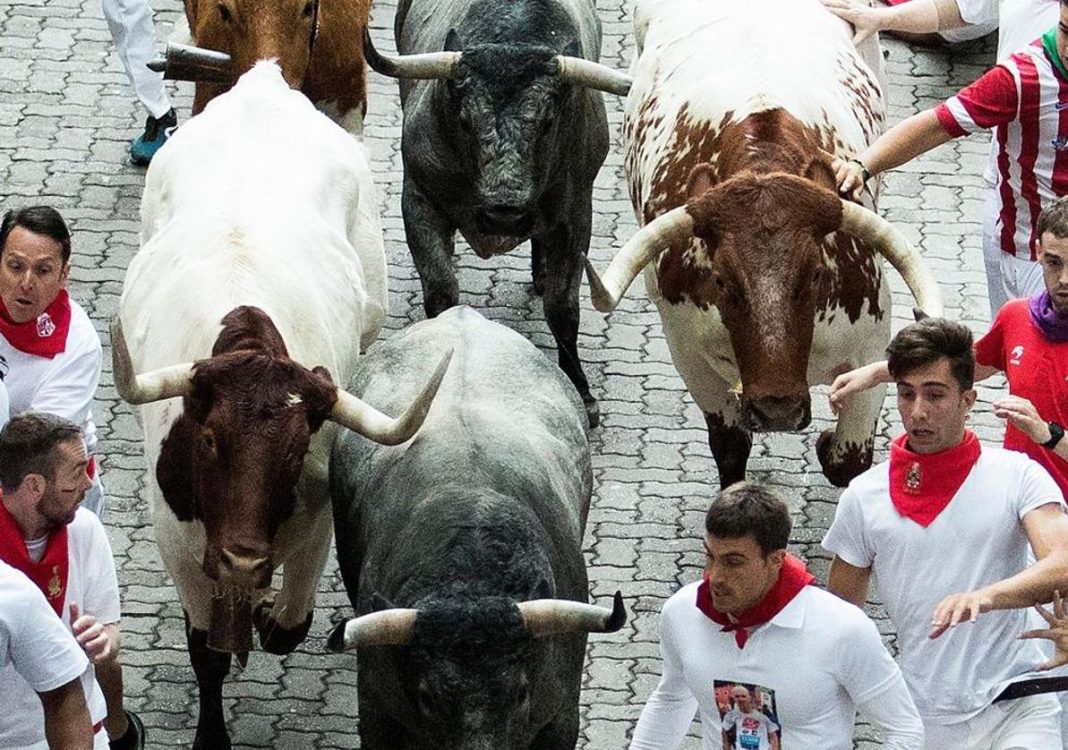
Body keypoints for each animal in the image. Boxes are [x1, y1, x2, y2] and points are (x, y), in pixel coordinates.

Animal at [114, 64, 448, 750]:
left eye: (296, 450)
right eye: (208, 438)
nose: (244, 558)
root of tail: (261, 83)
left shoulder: (315, 521)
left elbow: (289, 625)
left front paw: (267, 615)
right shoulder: (177, 543)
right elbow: (207, 652)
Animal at [585, 0, 944, 487]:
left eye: (816, 273)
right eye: (720, 279)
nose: (778, 408)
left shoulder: (872, 343)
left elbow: (847, 461)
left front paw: (827, 444)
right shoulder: (689, 356)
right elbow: (731, 445)